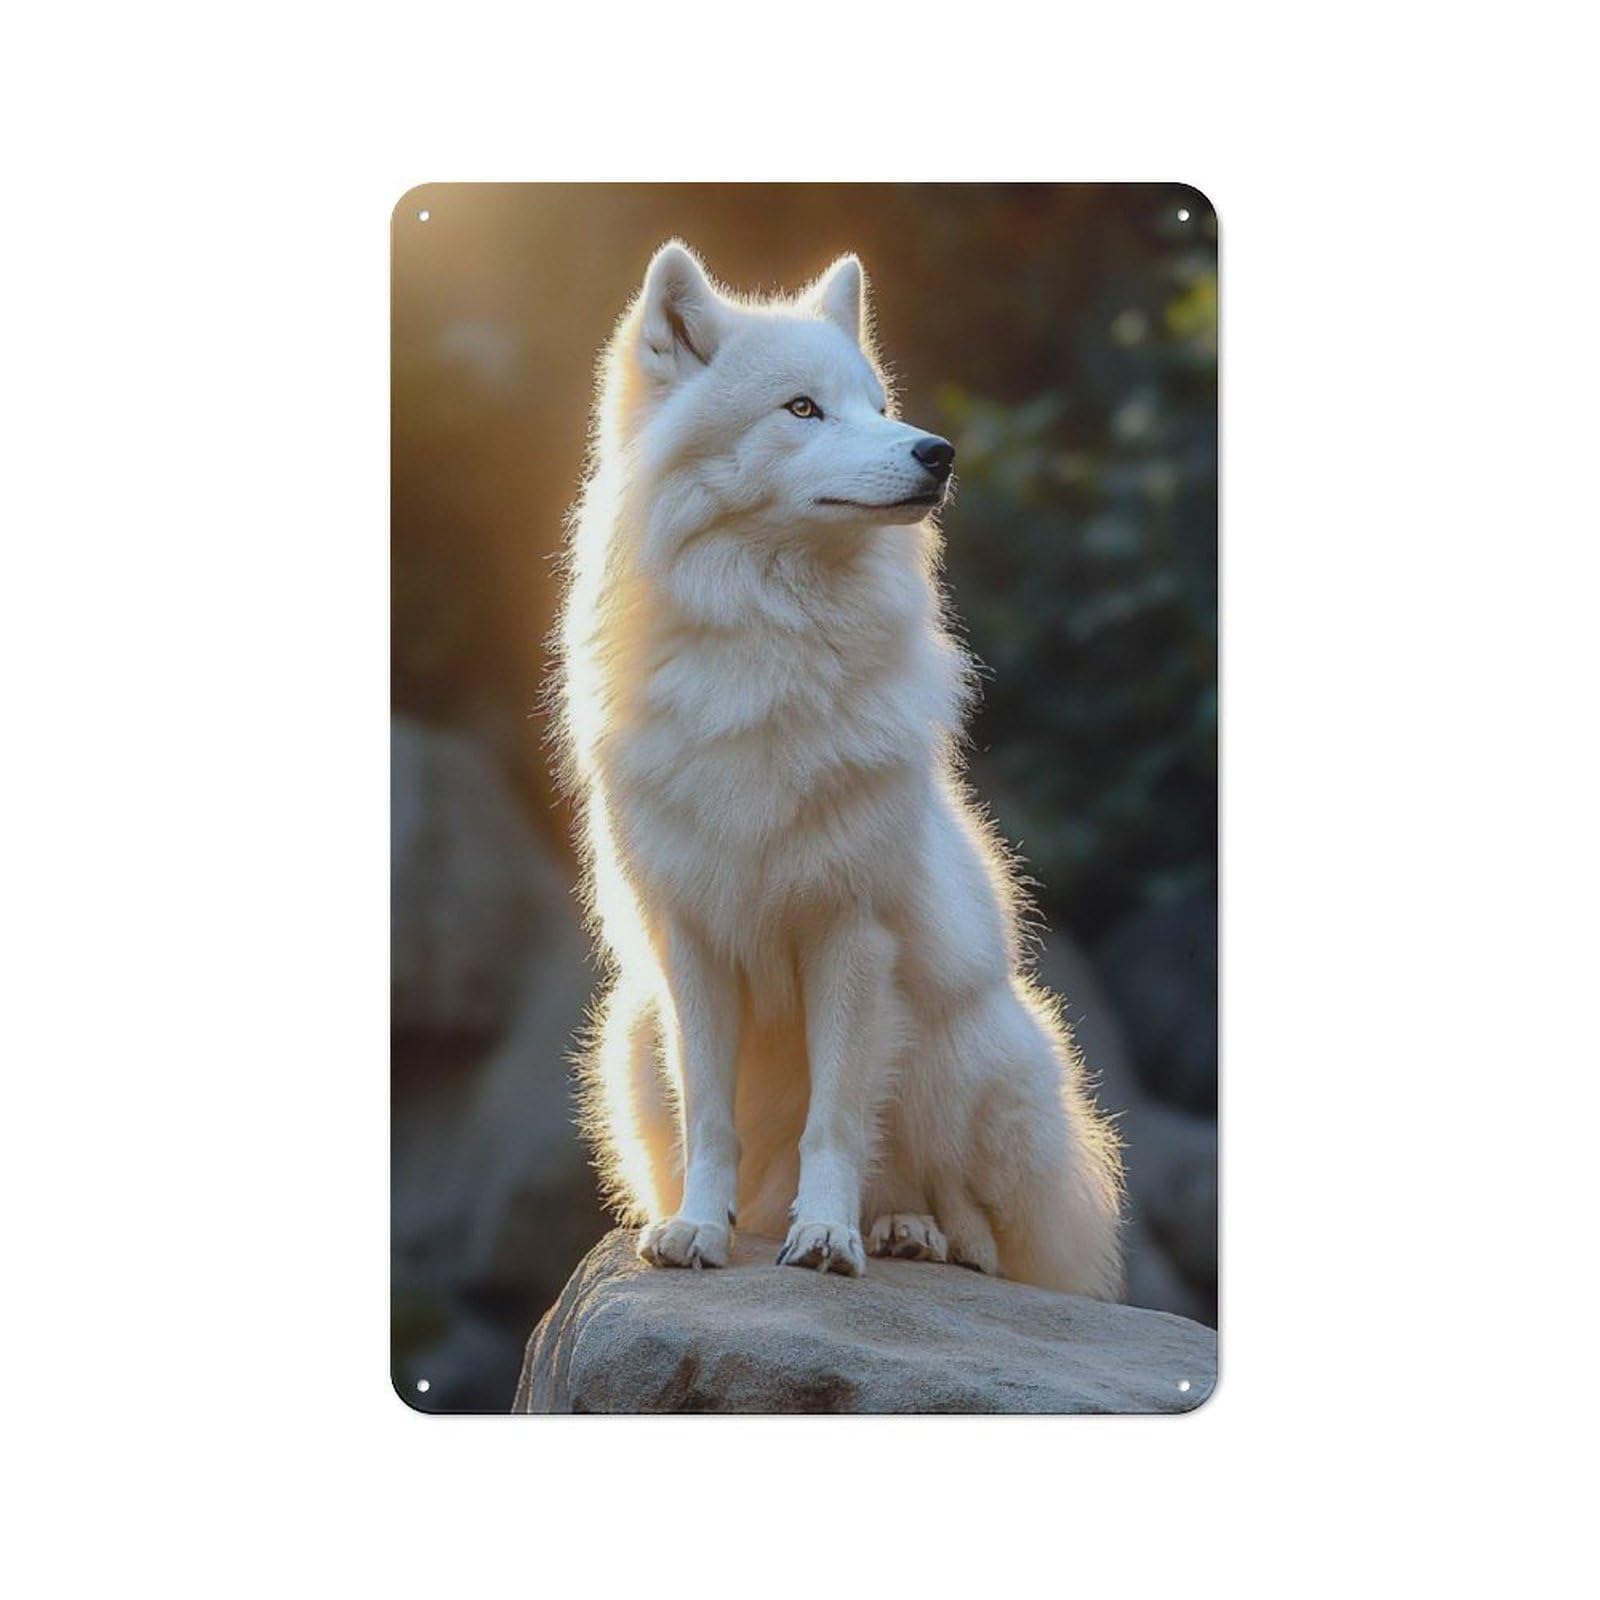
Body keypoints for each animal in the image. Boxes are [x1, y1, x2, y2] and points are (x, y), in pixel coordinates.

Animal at [554, 242, 1123, 1296]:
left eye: (876, 403)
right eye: (803, 409)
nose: (938, 452)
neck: (769, 651)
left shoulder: (851, 936)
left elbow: (837, 1123)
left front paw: (826, 1237)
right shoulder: (692, 946)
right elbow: (712, 1121)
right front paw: (698, 1231)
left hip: (970, 1047)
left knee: (983, 1228)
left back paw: (911, 1231)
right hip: (631, 1035)